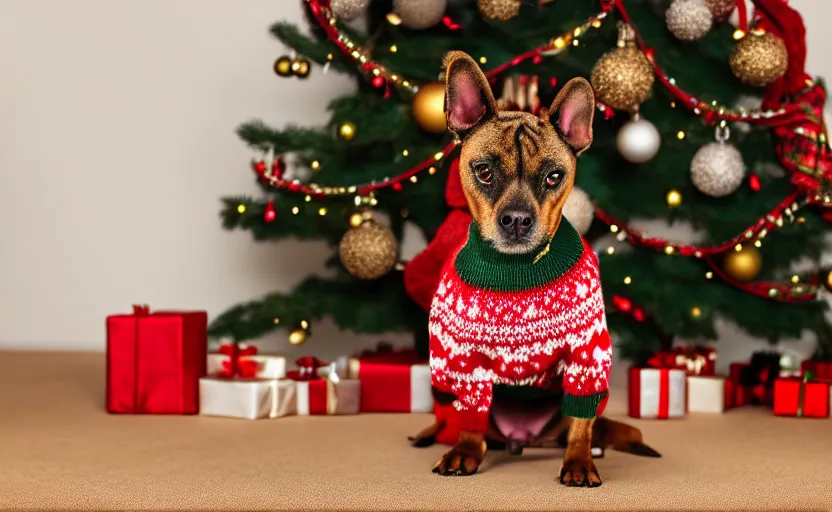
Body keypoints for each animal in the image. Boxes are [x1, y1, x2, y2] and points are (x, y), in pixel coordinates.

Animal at [420, 52, 620, 488]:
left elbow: (581, 424)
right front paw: (464, 451)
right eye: (484, 171)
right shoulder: (464, 364)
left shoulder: (587, 358)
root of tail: (522, 438)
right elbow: (471, 416)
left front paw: (579, 461)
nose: (516, 220)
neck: (514, 269)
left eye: (554, 176)